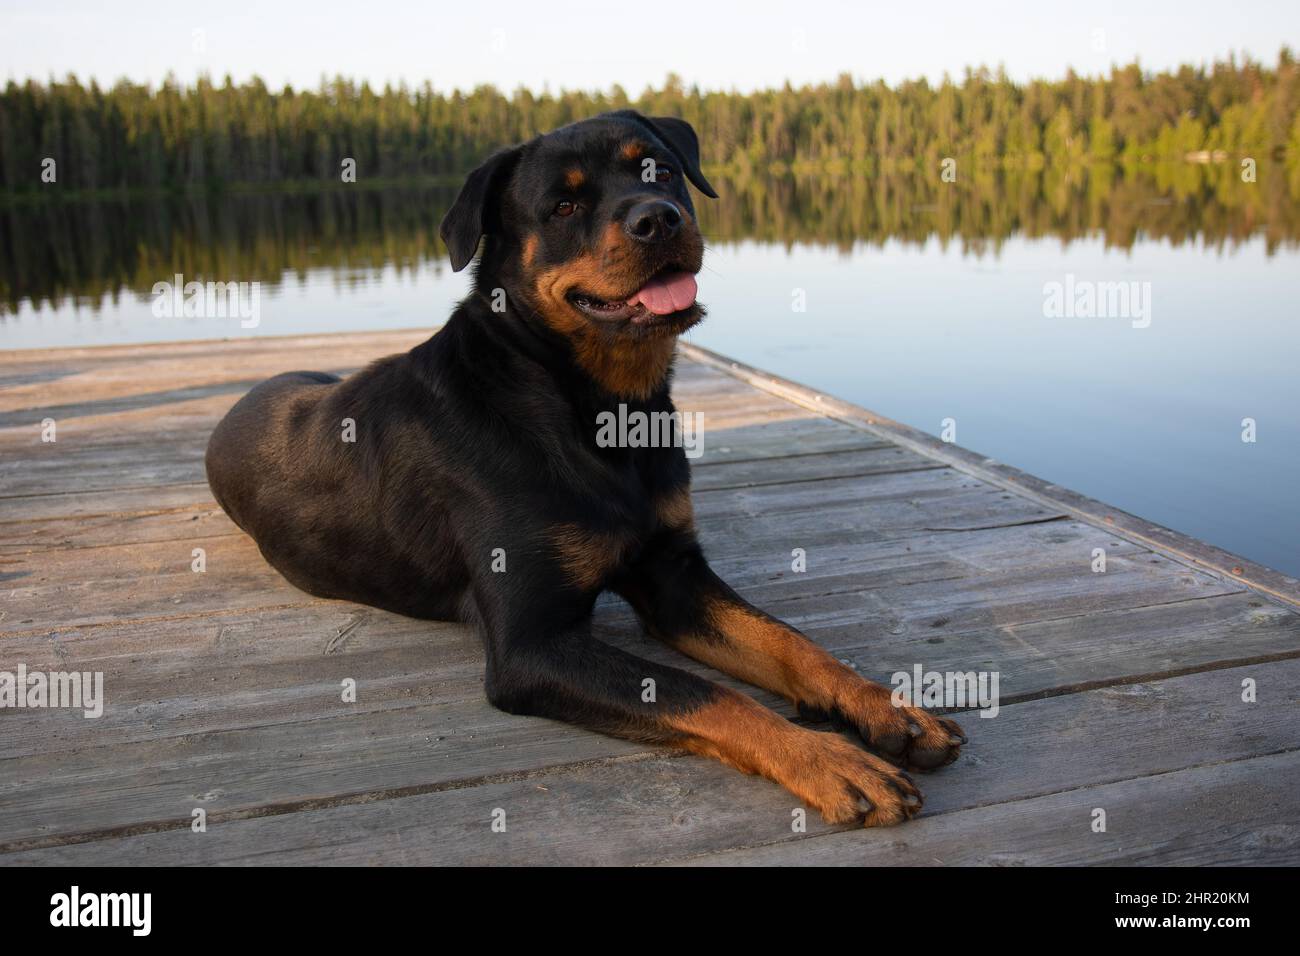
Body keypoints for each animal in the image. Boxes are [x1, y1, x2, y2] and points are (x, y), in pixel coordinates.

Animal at [205, 111, 967, 827]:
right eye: (564, 206)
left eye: (659, 170)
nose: (657, 218)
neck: (600, 410)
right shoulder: (533, 644)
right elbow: (705, 693)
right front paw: (831, 760)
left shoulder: (672, 576)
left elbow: (791, 643)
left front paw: (889, 708)